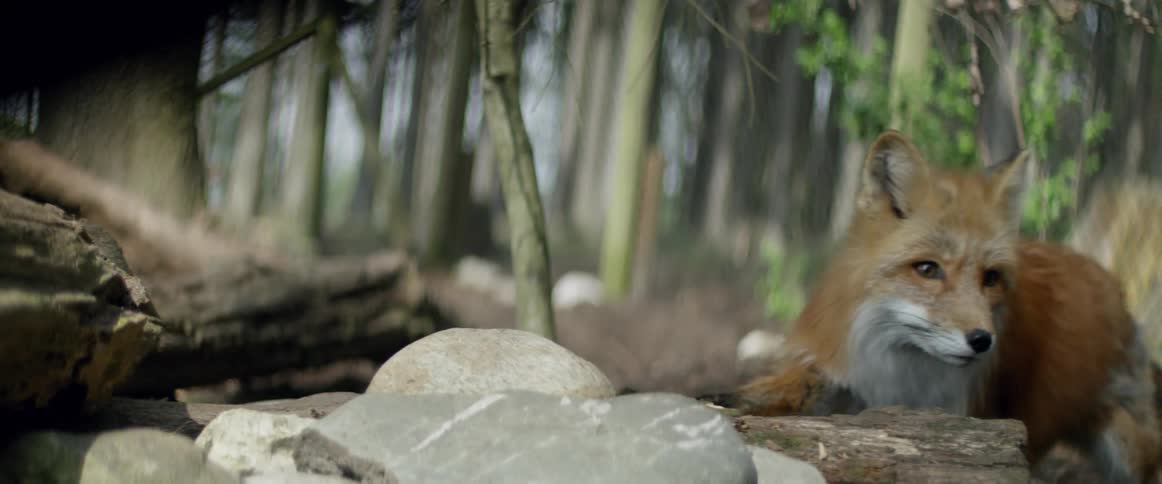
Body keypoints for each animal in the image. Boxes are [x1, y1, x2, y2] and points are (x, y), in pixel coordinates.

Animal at [724, 130, 1162, 482]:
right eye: (927, 269)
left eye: (991, 277)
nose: (982, 340)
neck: (902, 370)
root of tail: (1108, 279)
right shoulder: (841, 377)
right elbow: (756, 397)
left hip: (1126, 447)